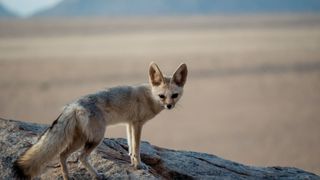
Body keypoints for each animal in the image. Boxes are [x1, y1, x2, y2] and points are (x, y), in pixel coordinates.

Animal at [13, 62, 188, 179]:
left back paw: (67, 177)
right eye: (162, 96)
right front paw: (138, 165)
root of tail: (73, 105)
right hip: (96, 138)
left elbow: (131, 146)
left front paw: (132, 160)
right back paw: (97, 175)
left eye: (174, 95)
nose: (169, 106)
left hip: (81, 139)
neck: (149, 97)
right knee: (81, 157)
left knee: (62, 155)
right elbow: (137, 147)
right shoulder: (137, 124)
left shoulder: (129, 123)